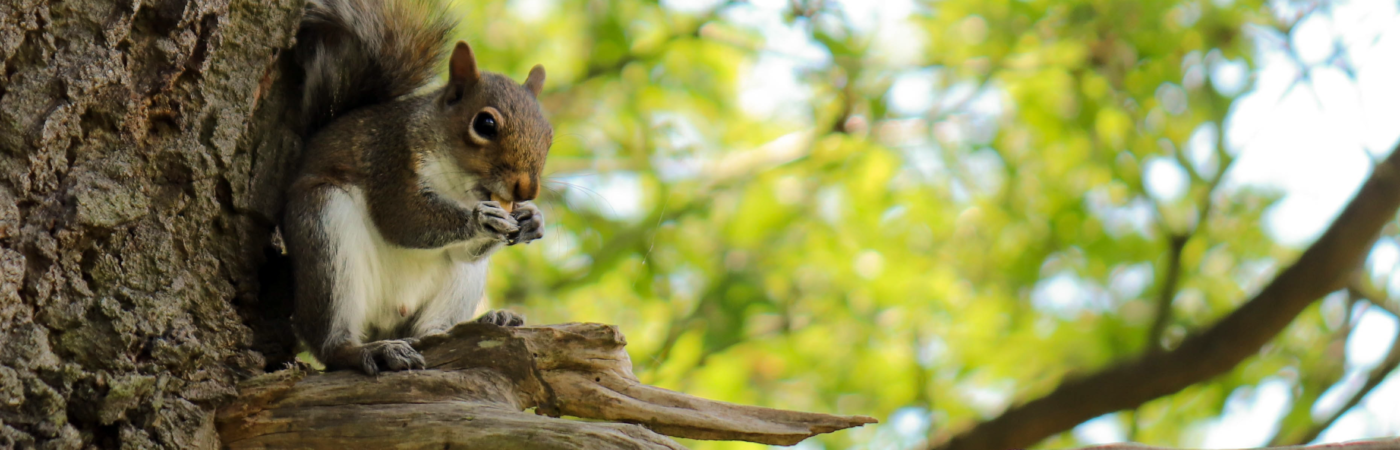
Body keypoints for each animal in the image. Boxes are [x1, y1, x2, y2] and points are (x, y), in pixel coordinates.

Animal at [282, 0, 551, 372]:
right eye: (485, 124)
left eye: (549, 135)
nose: (526, 190)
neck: (458, 186)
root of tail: (387, 322)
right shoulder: (390, 162)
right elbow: (405, 221)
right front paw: (479, 219)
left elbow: (463, 249)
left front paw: (532, 220)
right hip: (325, 233)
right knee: (331, 343)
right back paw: (369, 351)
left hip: (458, 285)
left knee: (431, 328)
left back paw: (484, 321)